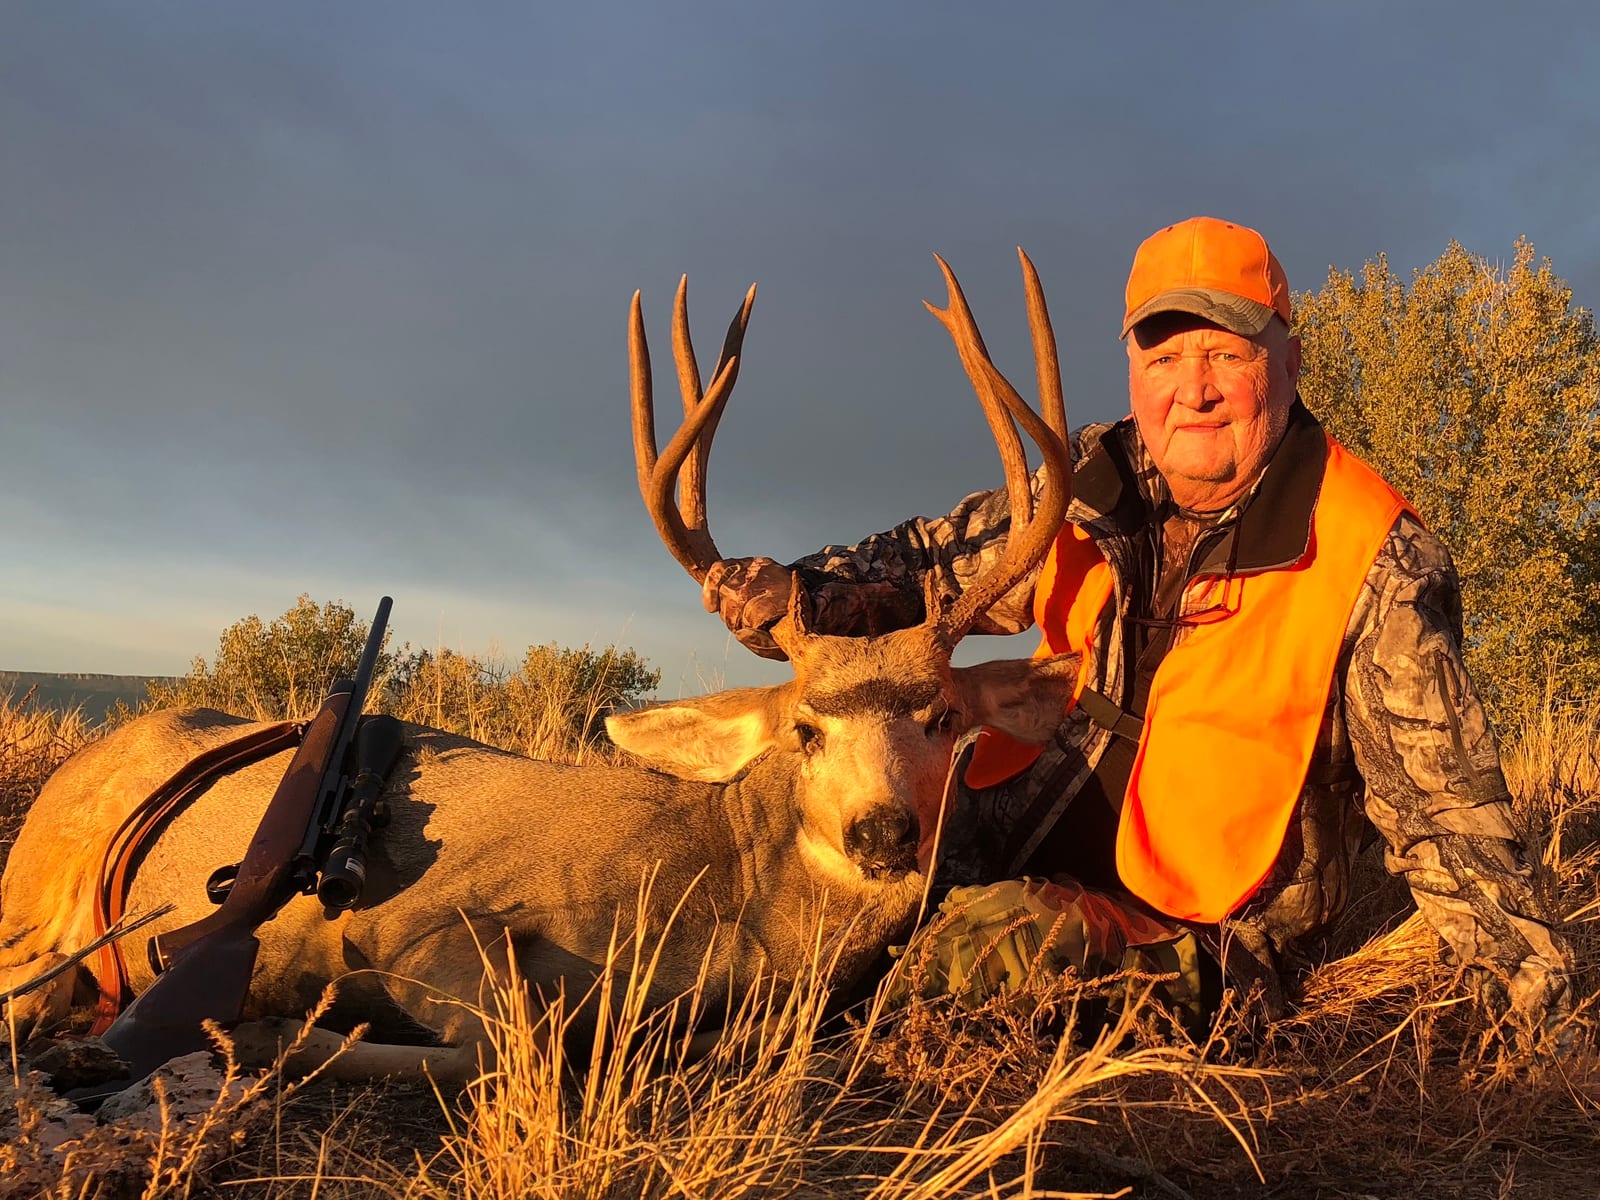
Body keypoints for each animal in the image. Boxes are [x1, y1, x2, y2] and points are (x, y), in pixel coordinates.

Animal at [0, 252, 1080, 1084]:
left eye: (945, 718)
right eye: (806, 729)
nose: (884, 832)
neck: (720, 902)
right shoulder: (420, 927)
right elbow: (516, 1044)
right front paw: (268, 1031)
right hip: (34, 896)